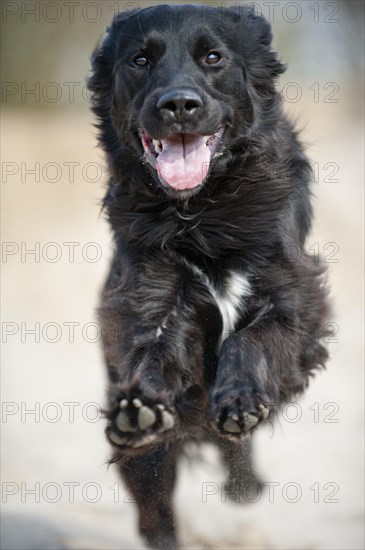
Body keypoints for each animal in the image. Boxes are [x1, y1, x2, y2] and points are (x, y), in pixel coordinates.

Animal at [89, 3, 330, 548]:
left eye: (213, 57)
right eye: (139, 59)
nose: (179, 104)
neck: (201, 213)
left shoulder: (299, 302)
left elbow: (249, 337)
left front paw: (240, 400)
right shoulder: (152, 298)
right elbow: (156, 348)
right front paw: (141, 408)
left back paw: (245, 480)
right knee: (155, 515)